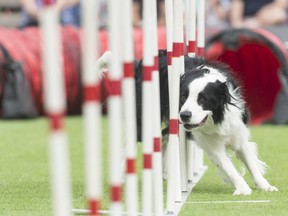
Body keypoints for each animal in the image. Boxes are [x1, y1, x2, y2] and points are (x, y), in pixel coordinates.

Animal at [98, 49, 276, 195]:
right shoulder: (211, 145)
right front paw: (243, 188)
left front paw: (265, 185)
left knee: (164, 134)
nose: (185, 115)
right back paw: (121, 176)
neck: (214, 119)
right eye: (182, 97)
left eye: (203, 99)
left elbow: (250, 161)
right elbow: (228, 166)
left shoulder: (237, 131)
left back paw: (163, 171)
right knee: (134, 138)